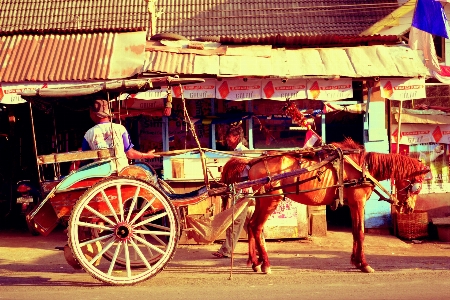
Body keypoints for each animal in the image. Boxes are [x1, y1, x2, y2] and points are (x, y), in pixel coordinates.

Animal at [221, 138, 428, 274]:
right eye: (417, 185)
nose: (409, 209)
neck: (364, 166)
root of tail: (252, 162)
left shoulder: (352, 204)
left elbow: (355, 231)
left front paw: (356, 262)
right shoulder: (358, 202)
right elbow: (361, 233)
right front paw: (364, 264)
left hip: (262, 199)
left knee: (251, 225)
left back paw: (255, 263)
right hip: (271, 200)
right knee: (256, 227)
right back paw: (265, 264)